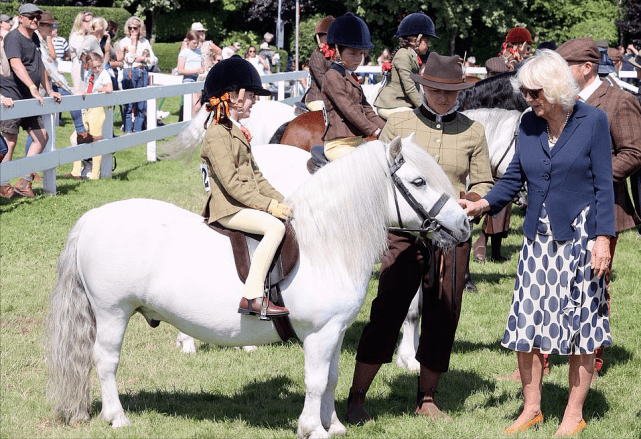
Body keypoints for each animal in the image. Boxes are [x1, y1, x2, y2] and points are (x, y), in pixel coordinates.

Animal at [46, 138, 470, 439]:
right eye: (418, 181)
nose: (465, 224)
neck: (326, 242)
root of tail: (93, 217)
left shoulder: (334, 332)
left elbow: (332, 378)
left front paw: (333, 424)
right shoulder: (319, 334)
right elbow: (316, 381)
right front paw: (312, 429)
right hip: (112, 312)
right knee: (105, 361)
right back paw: (117, 417)